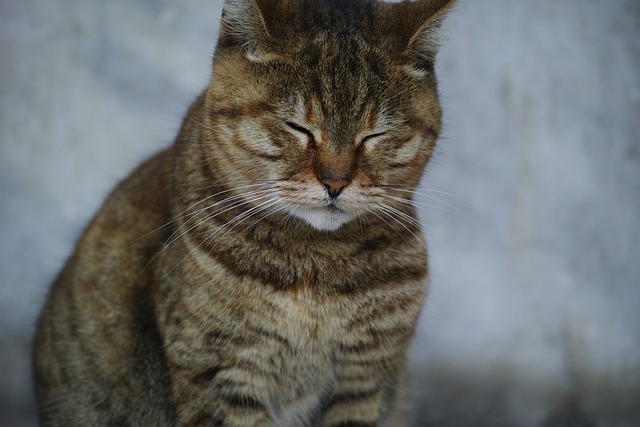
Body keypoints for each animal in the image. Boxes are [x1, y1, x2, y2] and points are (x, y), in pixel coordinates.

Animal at [33, 0, 456, 424]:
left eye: (374, 135)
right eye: (298, 127)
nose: (336, 182)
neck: (316, 269)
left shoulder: (366, 377)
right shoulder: (220, 372)